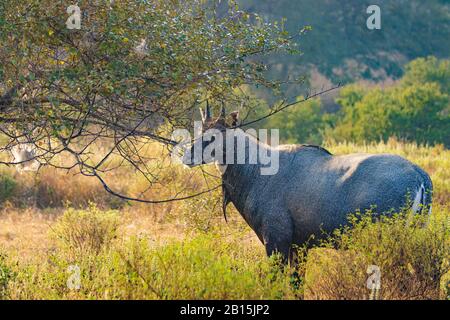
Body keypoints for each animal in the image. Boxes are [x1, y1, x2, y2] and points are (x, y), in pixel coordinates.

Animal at [182, 104, 432, 262]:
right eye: (200, 132)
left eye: (213, 136)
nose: (187, 155)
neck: (256, 169)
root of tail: (418, 174)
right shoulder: (299, 247)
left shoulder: (276, 242)